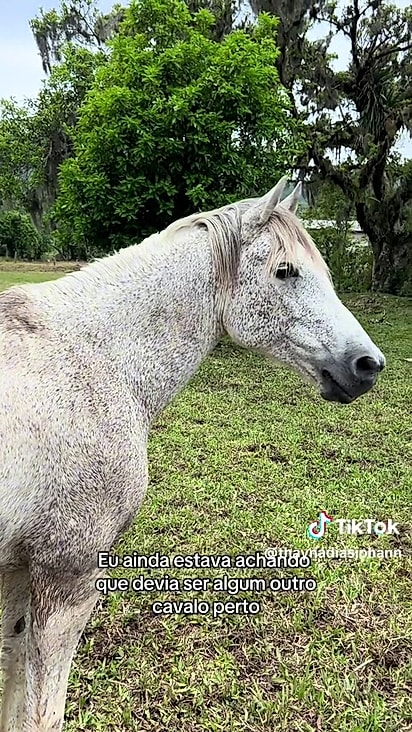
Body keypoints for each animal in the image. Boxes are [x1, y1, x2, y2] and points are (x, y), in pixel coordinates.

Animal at [0, 177, 385, 731]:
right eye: (285, 271)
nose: (368, 364)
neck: (97, 361)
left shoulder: (19, 571)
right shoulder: (65, 576)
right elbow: (40, 711)